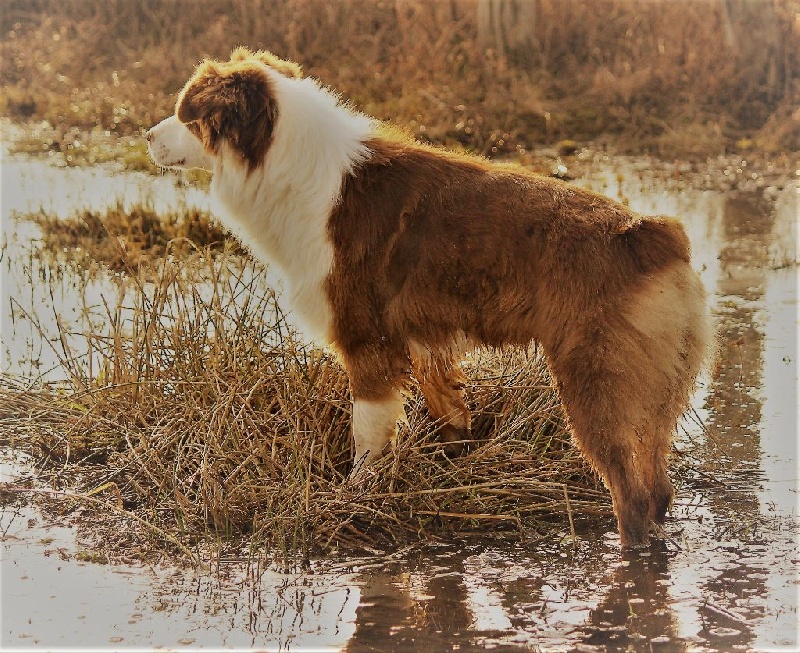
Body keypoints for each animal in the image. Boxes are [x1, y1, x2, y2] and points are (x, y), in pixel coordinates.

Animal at [145, 47, 712, 544]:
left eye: (187, 115)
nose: (146, 136)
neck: (285, 159)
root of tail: (651, 232)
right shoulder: (426, 346)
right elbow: (451, 415)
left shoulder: (368, 345)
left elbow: (367, 437)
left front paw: (355, 496)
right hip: (656, 394)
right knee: (659, 486)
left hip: (598, 386)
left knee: (633, 497)